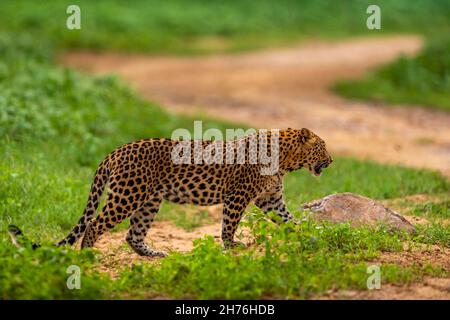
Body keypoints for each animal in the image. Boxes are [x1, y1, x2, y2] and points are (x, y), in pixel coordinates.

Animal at [6, 126, 330, 256]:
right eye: (323, 146)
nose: (332, 160)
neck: (286, 161)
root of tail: (115, 151)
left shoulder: (270, 200)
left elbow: (290, 220)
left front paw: (309, 236)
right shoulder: (238, 196)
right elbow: (229, 224)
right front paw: (231, 246)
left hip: (149, 201)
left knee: (132, 234)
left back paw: (153, 254)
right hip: (127, 196)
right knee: (95, 224)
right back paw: (87, 256)